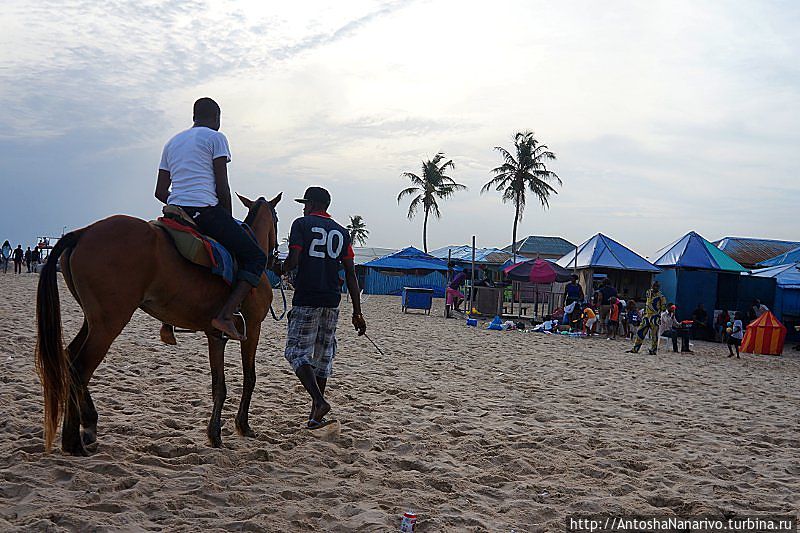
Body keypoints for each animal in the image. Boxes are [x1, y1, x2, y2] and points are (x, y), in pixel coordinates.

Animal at [35, 193, 282, 456]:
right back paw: (73, 442)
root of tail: (85, 231)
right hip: (108, 325)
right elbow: (249, 378)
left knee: (70, 357)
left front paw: (214, 433)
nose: (276, 259)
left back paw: (89, 423)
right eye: (276, 219)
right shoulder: (253, 329)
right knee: (80, 368)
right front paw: (242, 425)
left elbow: (219, 385)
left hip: (93, 322)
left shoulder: (215, 336)